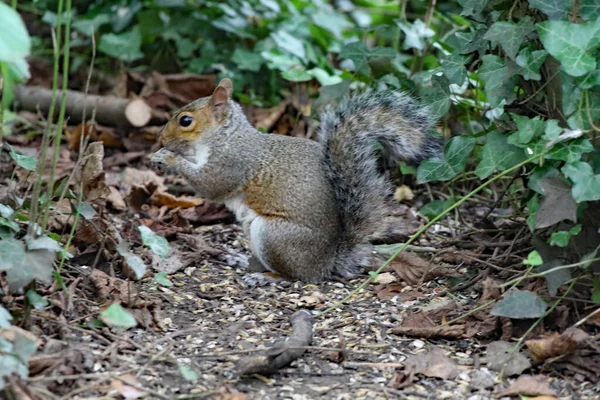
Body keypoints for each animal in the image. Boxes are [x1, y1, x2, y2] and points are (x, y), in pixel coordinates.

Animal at [151, 79, 440, 284]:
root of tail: (325, 263)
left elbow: (210, 185)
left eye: (185, 121)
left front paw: (168, 157)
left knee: (297, 277)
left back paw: (267, 277)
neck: (224, 136)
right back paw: (242, 260)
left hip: (274, 237)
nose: (160, 139)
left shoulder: (232, 162)